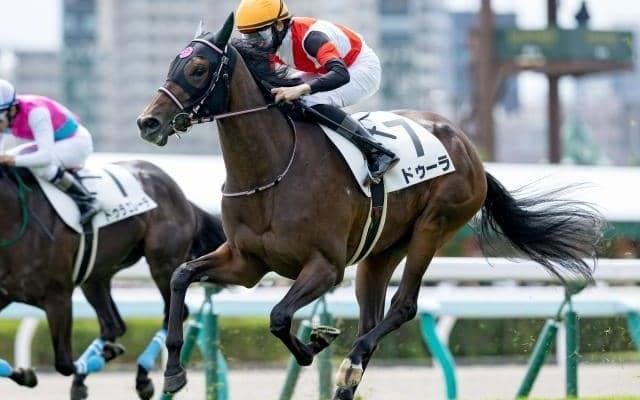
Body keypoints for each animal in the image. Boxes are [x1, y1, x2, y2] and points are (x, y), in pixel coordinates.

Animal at [0, 160, 225, 400]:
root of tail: (181, 196)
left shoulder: (58, 297)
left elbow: (64, 363)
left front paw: (106, 354)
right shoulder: (4, 295)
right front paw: (25, 374)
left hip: (163, 263)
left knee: (173, 313)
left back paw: (142, 376)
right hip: (96, 276)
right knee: (113, 326)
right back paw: (84, 380)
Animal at [137, 14, 603, 400]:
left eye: (198, 68)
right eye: (172, 65)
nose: (148, 122)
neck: (269, 171)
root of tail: (470, 153)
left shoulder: (325, 266)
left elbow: (279, 316)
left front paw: (316, 343)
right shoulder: (246, 262)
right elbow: (181, 276)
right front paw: (174, 372)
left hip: (435, 225)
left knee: (403, 307)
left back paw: (349, 364)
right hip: (380, 251)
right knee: (372, 315)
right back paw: (349, 377)